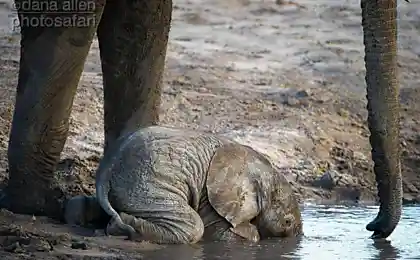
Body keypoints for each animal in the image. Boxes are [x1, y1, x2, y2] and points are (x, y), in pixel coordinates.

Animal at [64, 126, 302, 244]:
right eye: (287, 222)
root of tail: (106, 172)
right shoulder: (211, 195)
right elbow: (220, 232)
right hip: (150, 185)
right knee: (193, 226)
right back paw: (120, 226)